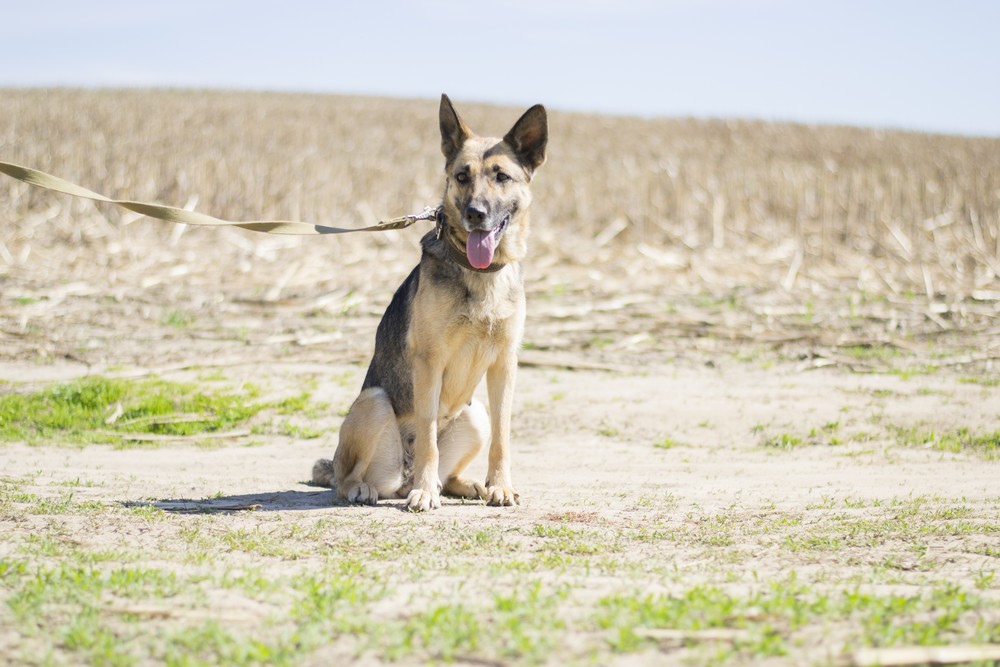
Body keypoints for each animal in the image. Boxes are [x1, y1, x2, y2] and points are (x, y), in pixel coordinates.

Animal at [310, 94, 548, 512]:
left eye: (502, 176)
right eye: (462, 176)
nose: (475, 214)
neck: (480, 272)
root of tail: (398, 478)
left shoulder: (504, 364)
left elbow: (503, 438)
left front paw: (501, 486)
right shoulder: (429, 362)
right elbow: (427, 437)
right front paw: (424, 493)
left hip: (475, 413)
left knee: (449, 473)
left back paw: (466, 484)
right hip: (373, 402)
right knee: (345, 476)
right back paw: (374, 487)